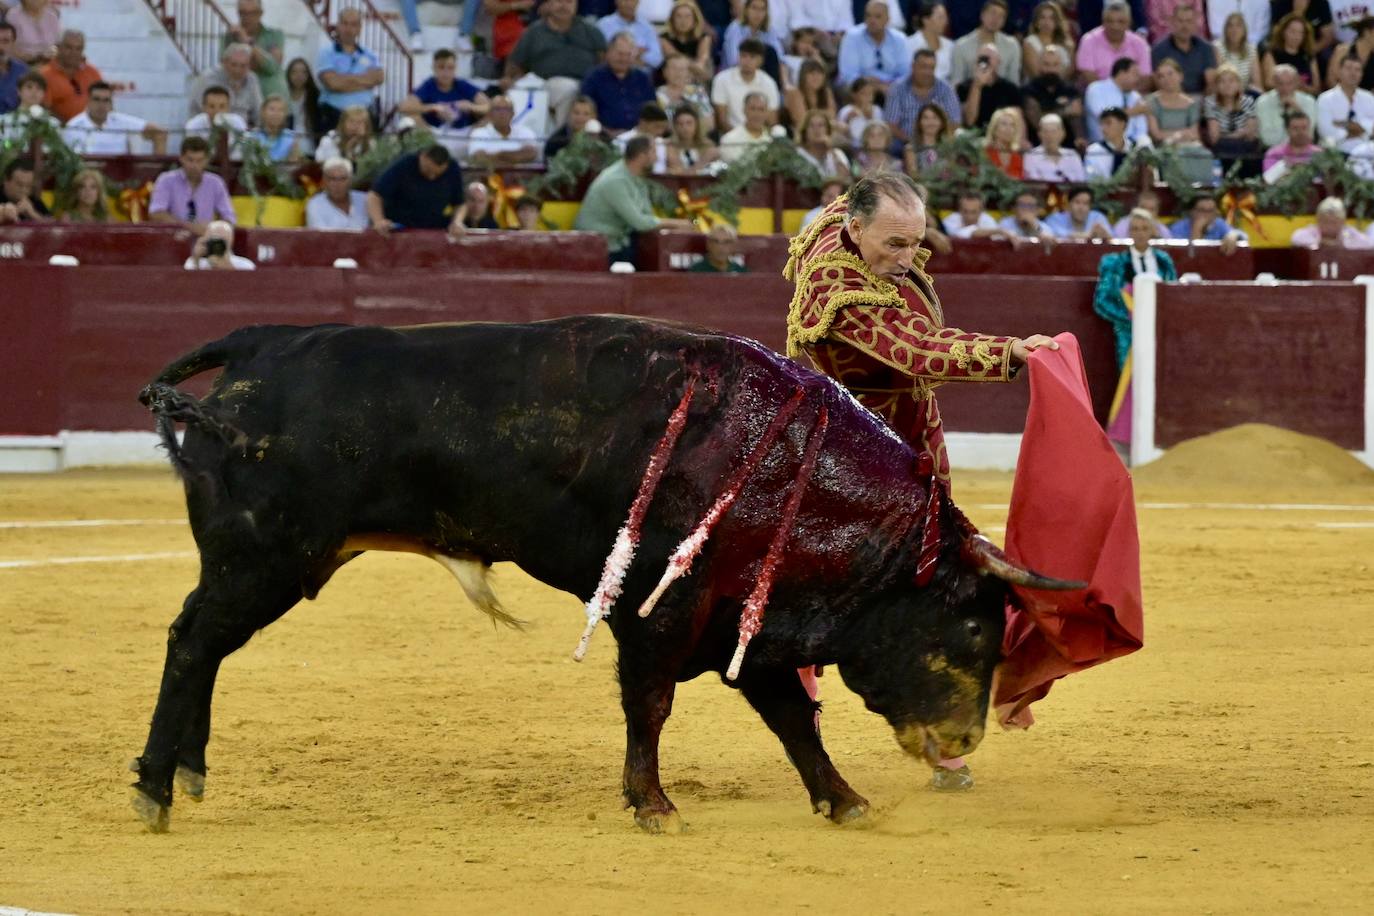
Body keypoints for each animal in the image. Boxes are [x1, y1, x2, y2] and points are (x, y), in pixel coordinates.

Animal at [129, 318, 1077, 834]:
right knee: (189, 642)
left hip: (266, 563)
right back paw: (153, 790)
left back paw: (188, 773)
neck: (787, 470)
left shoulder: (745, 617)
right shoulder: (663, 611)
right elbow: (651, 704)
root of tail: (264, 344)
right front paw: (652, 805)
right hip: (265, 556)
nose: (964, 739)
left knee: (203, 646)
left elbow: (792, 721)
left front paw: (844, 801)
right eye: (972, 624)